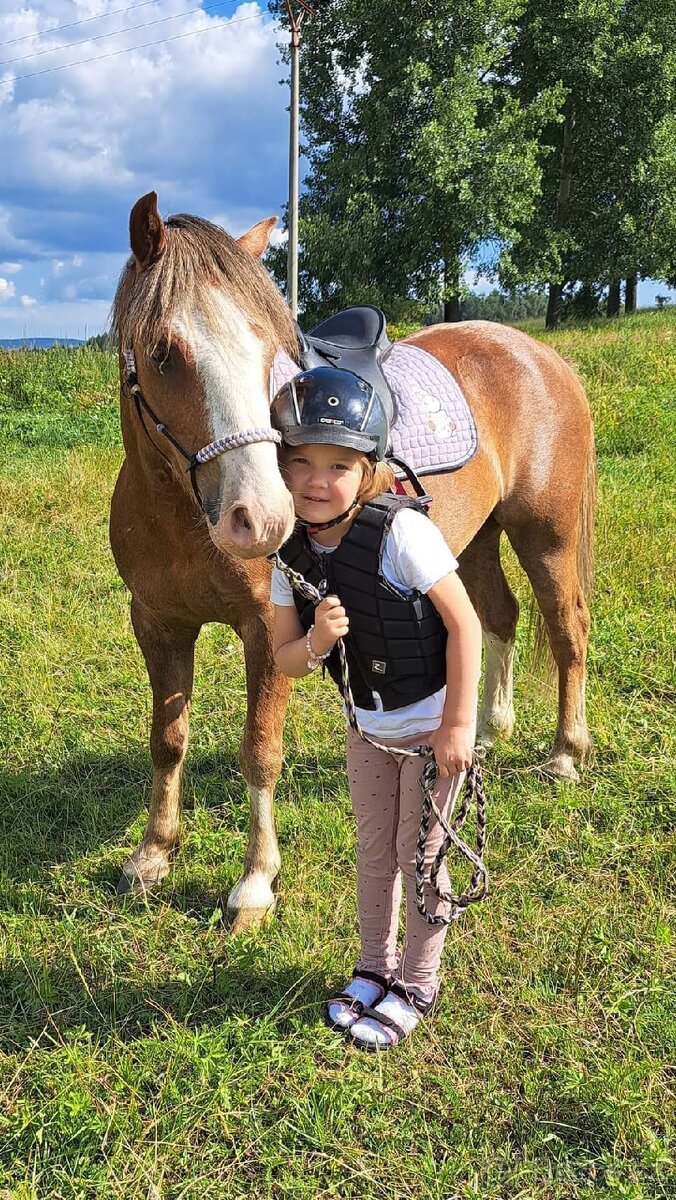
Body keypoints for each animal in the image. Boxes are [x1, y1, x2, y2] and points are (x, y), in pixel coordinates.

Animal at [108, 194, 595, 926]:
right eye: (163, 353)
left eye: (270, 355)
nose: (263, 517)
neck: (182, 517)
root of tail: (540, 355)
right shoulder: (157, 623)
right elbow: (167, 739)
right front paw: (152, 854)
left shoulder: (265, 628)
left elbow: (260, 751)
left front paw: (254, 883)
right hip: (473, 539)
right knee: (499, 617)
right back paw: (483, 731)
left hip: (547, 537)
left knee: (567, 630)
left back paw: (566, 753)